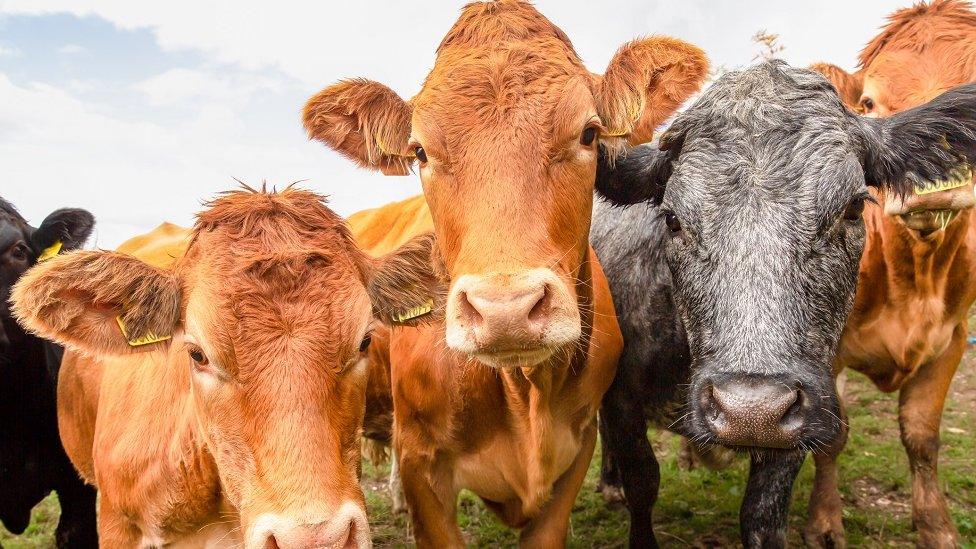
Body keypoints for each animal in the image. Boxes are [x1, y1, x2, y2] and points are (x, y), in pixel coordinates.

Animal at [302, 0, 704, 544]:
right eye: (420, 151)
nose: (505, 311)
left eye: (588, 133)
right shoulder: (421, 462)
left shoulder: (577, 449)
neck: (523, 392)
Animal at [588, 61, 976, 548]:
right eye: (672, 219)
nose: (751, 412)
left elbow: (763, 512)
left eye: (853, 208)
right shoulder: (620, 395)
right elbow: (643, 482)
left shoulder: (807, 404)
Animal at [808, 2, 976, 544]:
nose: (930, 183)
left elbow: (922, 434)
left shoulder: (952, 337)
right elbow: (832, 433)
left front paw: (936, 527)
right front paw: (825, 525)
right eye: (868, 102)